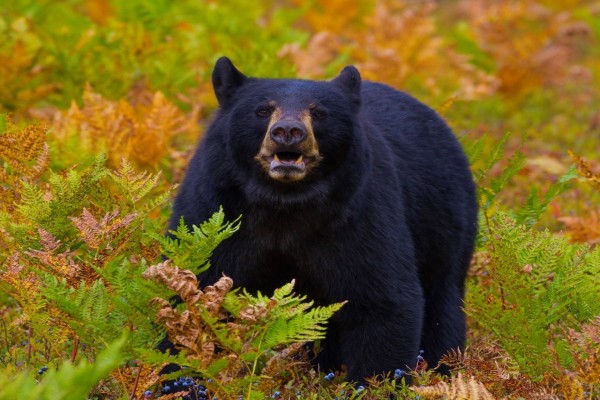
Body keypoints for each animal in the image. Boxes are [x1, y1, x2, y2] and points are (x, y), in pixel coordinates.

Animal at [170, 55, 478, 382]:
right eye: (263, 109)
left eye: (318, 112)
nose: (288, 131)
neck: (284, 203)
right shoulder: (216, 209)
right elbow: (196, 291)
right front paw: (179, 378)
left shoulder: (360, 214)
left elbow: (384, 299)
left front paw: (375, 382)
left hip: (445, 224)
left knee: (442, 305)